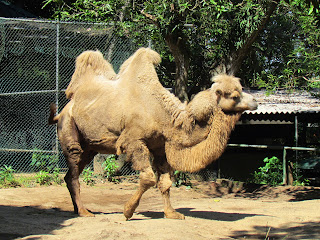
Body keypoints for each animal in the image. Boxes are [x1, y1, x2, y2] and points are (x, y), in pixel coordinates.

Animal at [48, 47, 258, 220]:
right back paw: (84, 212)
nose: (255, 101)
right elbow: (148, 178)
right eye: (235, 95)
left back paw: (78, 209)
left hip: (90, 146)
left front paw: (172, 214)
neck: (162, 115)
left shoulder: (159, 146)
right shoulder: (134, 140)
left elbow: (165, 182)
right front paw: (128, 211)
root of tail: (61, 112)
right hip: (69, 130)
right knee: (73, 173)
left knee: (71, 174)